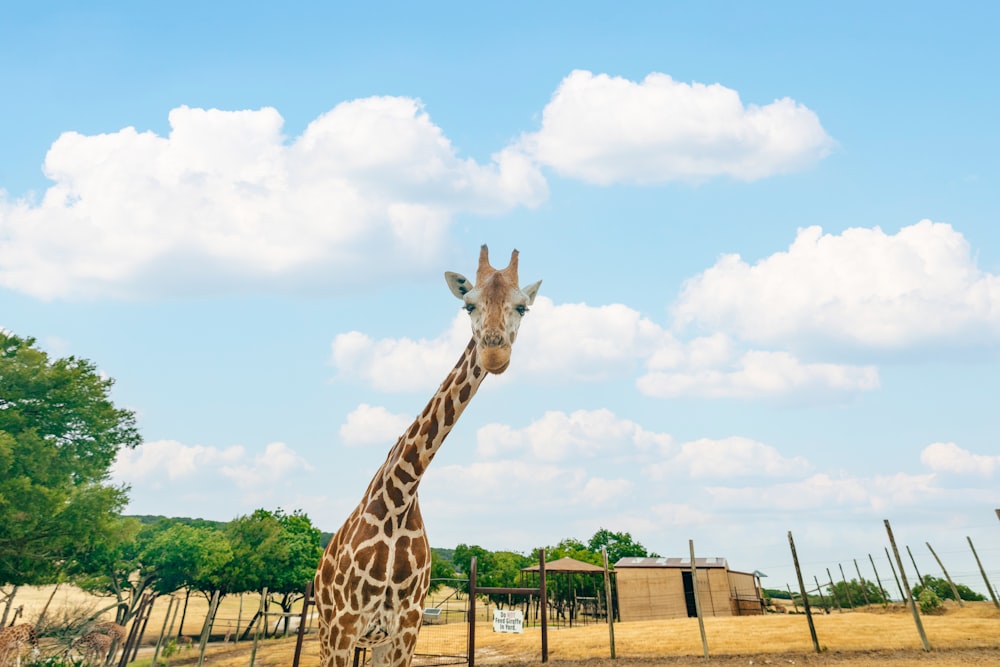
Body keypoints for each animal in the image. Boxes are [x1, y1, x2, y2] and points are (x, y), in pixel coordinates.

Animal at [316, 245, 544, 667]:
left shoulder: (406, 629)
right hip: (325, 631)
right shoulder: (344, 624)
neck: (401, 494)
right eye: (468, 305)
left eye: (523, 307)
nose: (494, 353)